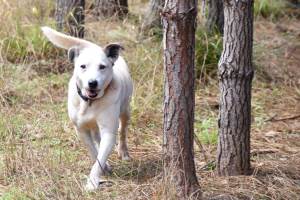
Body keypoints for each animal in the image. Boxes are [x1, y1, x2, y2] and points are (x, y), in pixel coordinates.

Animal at [41, 27, 132, 191]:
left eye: (102, 67)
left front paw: (92, 182)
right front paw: (104, 167)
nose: (92, 83)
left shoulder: (108, 130)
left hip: (126, 111)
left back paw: (124, 152)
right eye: (83, 66)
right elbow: (94, 152)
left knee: (122, 130)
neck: (91, 102)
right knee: (97, 139)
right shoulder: (81, 130)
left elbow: (101, 154)